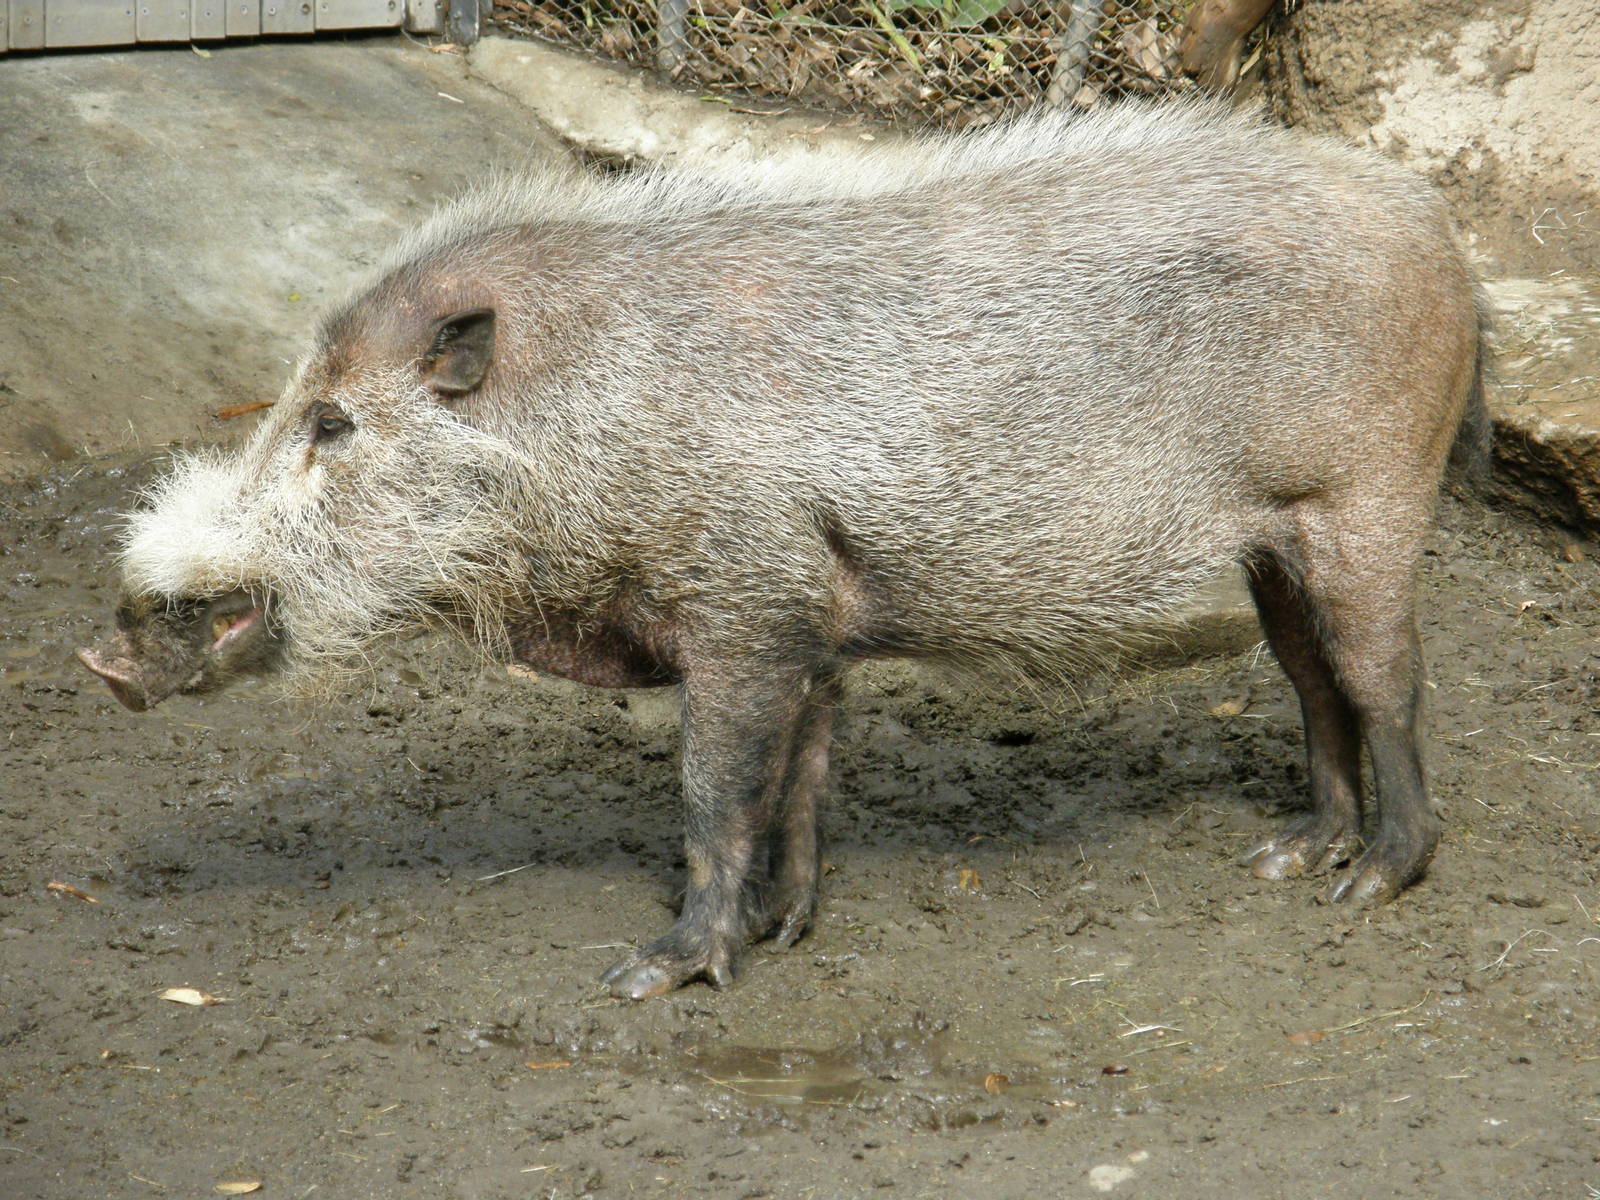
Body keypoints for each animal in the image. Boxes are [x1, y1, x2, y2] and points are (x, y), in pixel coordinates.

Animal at [79, 100, 1488, 998]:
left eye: (331, 422)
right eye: (289, 403)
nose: (104, 650)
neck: (579, 422)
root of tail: (1443, 236)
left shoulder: (744, 600)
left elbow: (713, 791)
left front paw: (654, 977)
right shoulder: (808, 611)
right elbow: (799, 777)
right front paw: (789, 929)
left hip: (1367, 500)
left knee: (1389, 682)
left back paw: (1371, 885)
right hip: (1275, 548)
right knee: (1309, 681)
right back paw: (1288, 857)